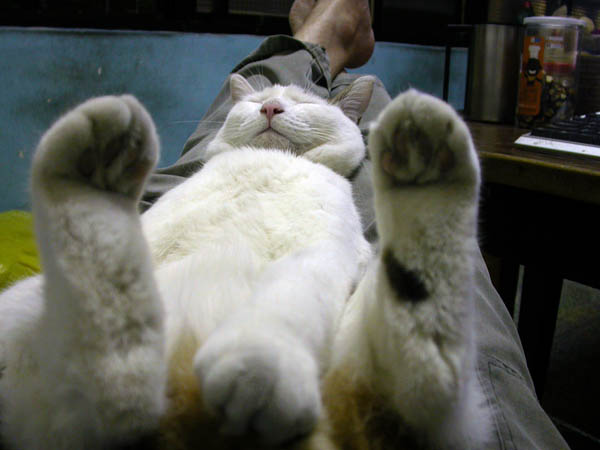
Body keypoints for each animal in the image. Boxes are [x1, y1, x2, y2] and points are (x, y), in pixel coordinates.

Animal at [0, 74, 490, 449]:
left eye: (303, 102)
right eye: (255, 100)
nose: (270, 107)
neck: (270, 163)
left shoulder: (320, 256)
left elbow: (281, 310)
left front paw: (259, 370)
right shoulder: (154, 235)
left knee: (428, 380)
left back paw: (425, 158)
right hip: (27, 308)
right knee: (113, 386)